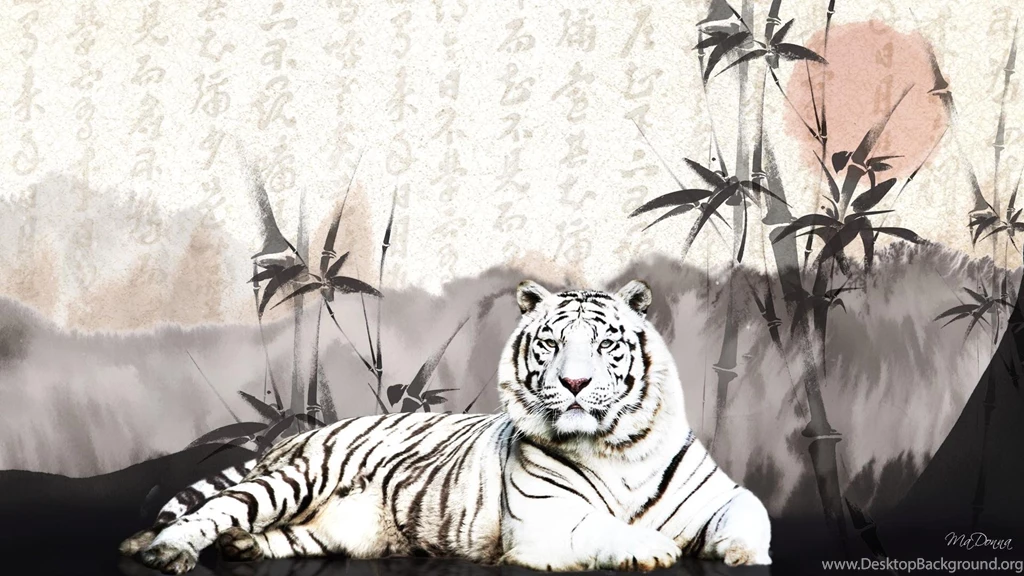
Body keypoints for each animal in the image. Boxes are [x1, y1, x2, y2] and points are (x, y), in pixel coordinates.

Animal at [119, 279, 772, 573]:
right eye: (551, 343)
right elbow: (602, 526)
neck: (614, 447)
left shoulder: (721, 492)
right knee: (216, 509)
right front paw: (653, 548)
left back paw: (241, 546)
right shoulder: (542, 520)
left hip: (318, 531)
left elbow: (751, 510)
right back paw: (164, 550)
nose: (575, 382)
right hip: (293, 481)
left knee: (270, 533)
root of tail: (291, 436)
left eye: (606, 343)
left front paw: (742, 552)